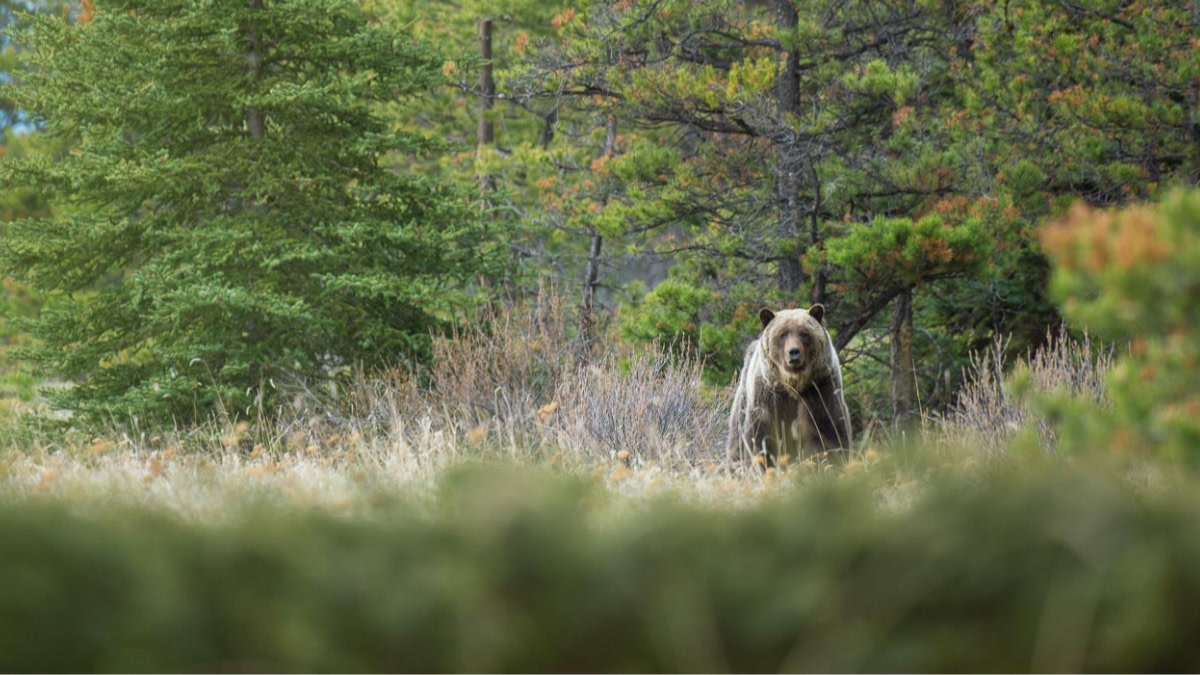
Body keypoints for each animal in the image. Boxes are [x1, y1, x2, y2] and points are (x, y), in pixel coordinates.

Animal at [726, 304, 852, 466]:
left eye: (804, 333)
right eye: (782, 334)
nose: (793, 352)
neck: (793, 384)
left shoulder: (820, 390)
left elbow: (829, 431)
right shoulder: (769, 399)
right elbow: (760, 440)